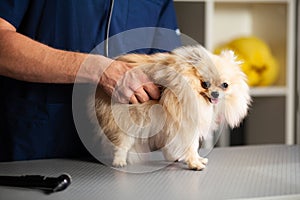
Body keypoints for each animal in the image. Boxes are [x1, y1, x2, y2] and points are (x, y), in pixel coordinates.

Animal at [91, 45, 251, 170]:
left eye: (225, 85)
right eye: (205, 84)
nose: (215, 93)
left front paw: (197, 159)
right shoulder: (186, 124)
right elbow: (191, 146)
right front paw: (195, 163)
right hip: (126, 121)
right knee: (121, 144)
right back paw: (119, 162)